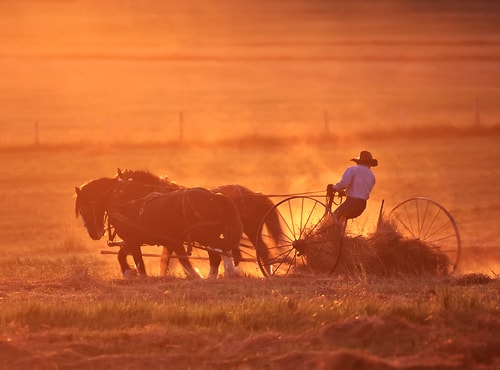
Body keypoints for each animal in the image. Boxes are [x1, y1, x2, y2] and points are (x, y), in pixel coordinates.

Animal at [74, 176, 244, 278]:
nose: (94, 234)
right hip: (207, 236)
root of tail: (214, 196)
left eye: (83, 210)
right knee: (220, 252)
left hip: (205, 235)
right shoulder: (161, 241)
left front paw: (132, 273)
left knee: (220, 252)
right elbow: (128, 257)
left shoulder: (133, 239)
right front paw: (132, 273)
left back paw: (219, 274)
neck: (125, 200)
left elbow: (132, 259)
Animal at [115, 169, 284, 274]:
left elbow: (167, 259)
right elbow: (168, 259)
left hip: (250, 230)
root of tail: (256, 194)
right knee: (259, 251)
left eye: (120, 187)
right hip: (250, 230)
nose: (118, 205)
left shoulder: (171, 238)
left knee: (259, 252)